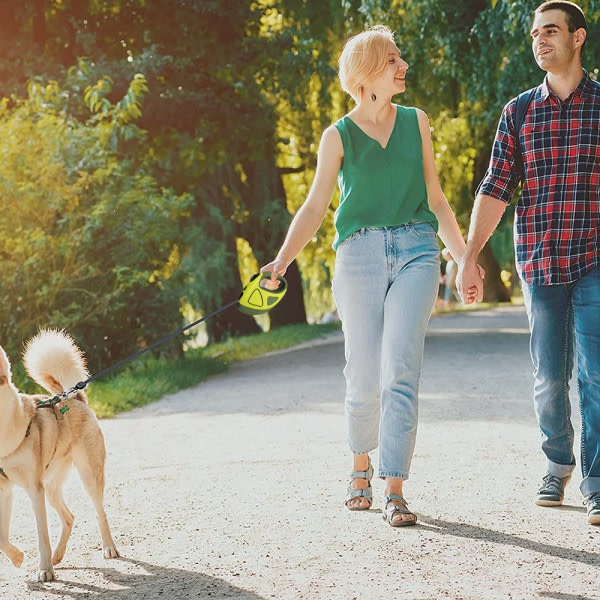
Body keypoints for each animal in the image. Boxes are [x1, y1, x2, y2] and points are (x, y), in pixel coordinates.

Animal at [0, 328, 118, 580]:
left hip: (89, 476)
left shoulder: (35, 491)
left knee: (100, 511)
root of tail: (72, 397)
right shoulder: (4, 490)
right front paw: (17, 558)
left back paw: (108, 547)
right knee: (69, 517)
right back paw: (58, 555)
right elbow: (2, 537)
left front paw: (45, 569)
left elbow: (42, 536)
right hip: (52, 489)